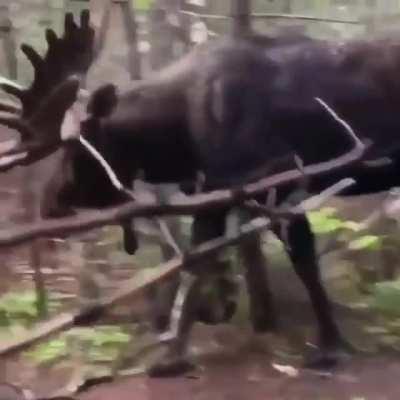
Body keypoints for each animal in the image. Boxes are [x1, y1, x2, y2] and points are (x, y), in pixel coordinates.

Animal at [0, 9, 396, 376]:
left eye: (76, 149)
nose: (49, 204)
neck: (179, 139)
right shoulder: (217, 191)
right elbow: (196, 262)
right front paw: (175, 353)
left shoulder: (279, 183)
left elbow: (303, 264)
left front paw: (330, 347)